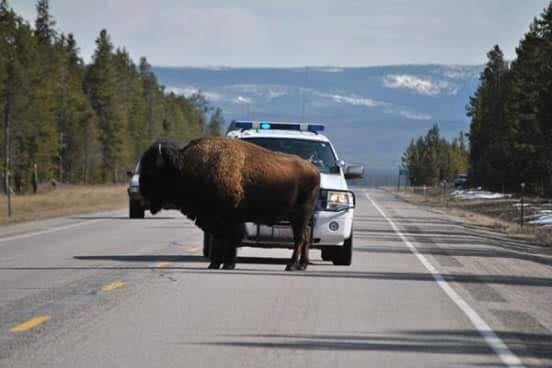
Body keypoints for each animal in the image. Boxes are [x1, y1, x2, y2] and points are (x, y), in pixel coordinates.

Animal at [139, 137, 320, 270]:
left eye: (151, 171)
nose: (141, 193)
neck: (187, 167)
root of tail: (314, 170)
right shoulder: (214, 219)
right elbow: (219, 240)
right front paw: (214, 264)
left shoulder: (229, 218)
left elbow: (230, 239)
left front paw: (228, 264)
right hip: (298, 218)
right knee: (305, 237)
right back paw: (302, 265)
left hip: (300, 215)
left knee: (299, 239)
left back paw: (291, 266)